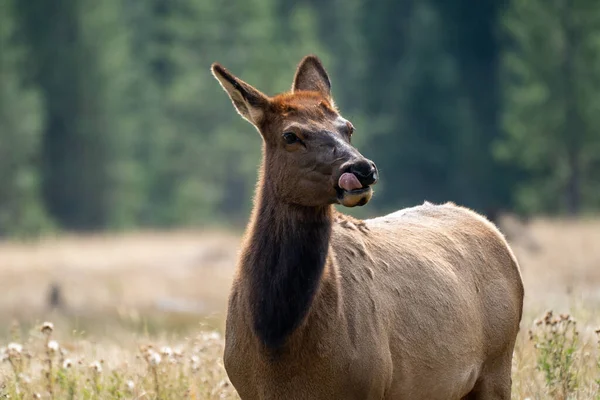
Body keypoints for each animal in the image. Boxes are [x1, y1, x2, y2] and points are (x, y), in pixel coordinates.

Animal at [211, 54, 524, 398]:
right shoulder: (247, 387)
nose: (362, 169)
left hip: (498, 362)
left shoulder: (368, 382)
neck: (277, 344)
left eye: (348, 128)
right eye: (291, 135)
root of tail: (494, 231)